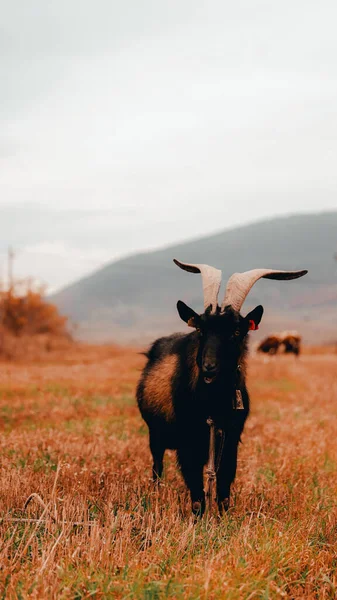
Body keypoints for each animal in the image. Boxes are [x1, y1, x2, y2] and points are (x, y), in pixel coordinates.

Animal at [135, 258, 306, 516]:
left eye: (236, 331)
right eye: (200, 329)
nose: (209, 368)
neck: (213, 403)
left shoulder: (231, 437)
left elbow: (224, 485)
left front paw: (224, 519)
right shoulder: (188, 442)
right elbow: (196, 492)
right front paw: (199, 520)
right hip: (155, 433)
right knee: (157, 465)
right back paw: (156, 494)